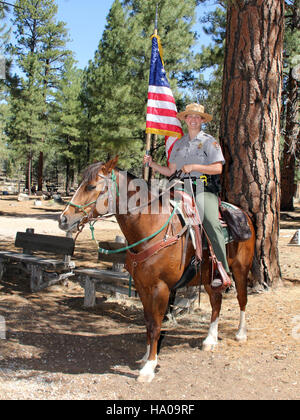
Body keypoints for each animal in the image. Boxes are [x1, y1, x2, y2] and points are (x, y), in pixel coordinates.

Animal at [59, 156, 255, 382]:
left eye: (91, 186)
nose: (63, 219)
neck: (152, 227)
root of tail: (244, 214)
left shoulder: (160, 288)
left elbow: (156, 325)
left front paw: (149, 368)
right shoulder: (142, 286)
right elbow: (148, 322)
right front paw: (146, 357)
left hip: (240, 269)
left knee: (242, 299)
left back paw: (241, 333)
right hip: (208, 275)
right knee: (216, 301)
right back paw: (210, 339)